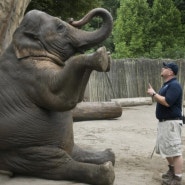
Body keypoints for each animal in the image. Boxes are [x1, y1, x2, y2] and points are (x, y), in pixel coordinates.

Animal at [0, 7, 115, 185]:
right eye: (60, 27)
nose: (73, 18)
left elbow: (76, 97)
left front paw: (106, 56)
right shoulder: (31, 75)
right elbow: (61, 98)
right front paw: (100, 56)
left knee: (74, 152)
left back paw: (108, 154)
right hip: (18, 148)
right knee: (56, 162)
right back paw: (106, 170)